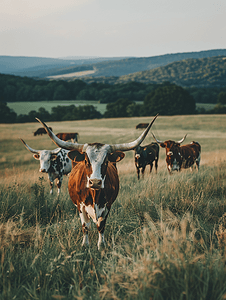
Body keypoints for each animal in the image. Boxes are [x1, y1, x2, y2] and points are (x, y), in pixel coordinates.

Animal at [36, 113, 158, 250]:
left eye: (106, 161)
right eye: (86, 161)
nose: (95, 182)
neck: (95, 194)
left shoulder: (107, 205)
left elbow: (101, 225)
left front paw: (101, 245)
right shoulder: (81, 206)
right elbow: (85, 226)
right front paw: (85, 244)